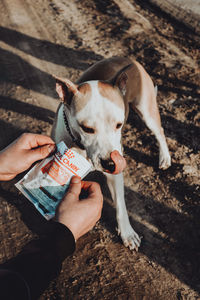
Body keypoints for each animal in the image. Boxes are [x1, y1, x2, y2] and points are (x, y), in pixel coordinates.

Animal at [51, 56, 170, 251]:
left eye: (119, 124)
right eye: (86, 128)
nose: (110, 163)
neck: (81, 146)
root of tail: (128, 58)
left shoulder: (115, 175)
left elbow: (121, 204)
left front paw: (127, 233)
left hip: (146, 110)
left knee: (159, 131)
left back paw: (165, 157)